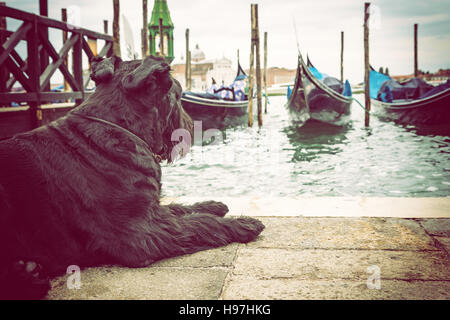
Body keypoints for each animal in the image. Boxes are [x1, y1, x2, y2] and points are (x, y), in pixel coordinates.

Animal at [0, 55, 264, 300]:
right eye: (178, 96)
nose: (191, 127)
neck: (117, 130)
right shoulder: (140, 233)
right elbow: (200, 223)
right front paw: (243, 223)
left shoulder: (151, 210)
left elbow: (182, 209)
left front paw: (213, 205)